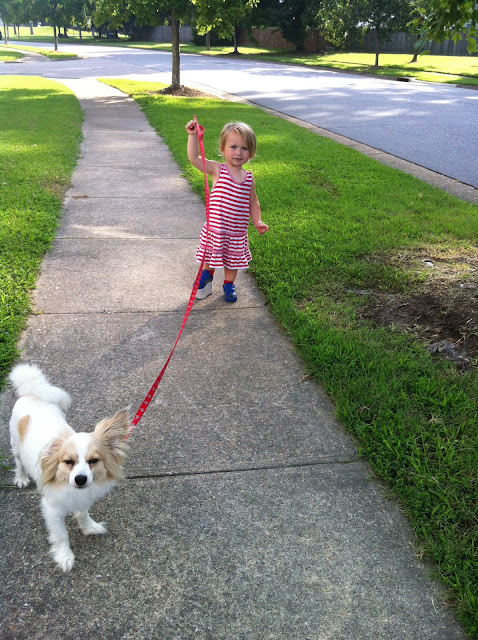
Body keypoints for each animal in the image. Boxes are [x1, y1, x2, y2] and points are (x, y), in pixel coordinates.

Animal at [8, 363, 130, 573]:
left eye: (93, 460)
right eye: (68, 461)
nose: (80, 479)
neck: (67, 485)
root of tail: (32, 392)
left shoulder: (84, 497)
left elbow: (83, 513)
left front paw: (89, 527)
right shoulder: (52, 510)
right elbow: (61, 535)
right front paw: (65, 557)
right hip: (15, 446)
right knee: (19, 463)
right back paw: (22, 478)